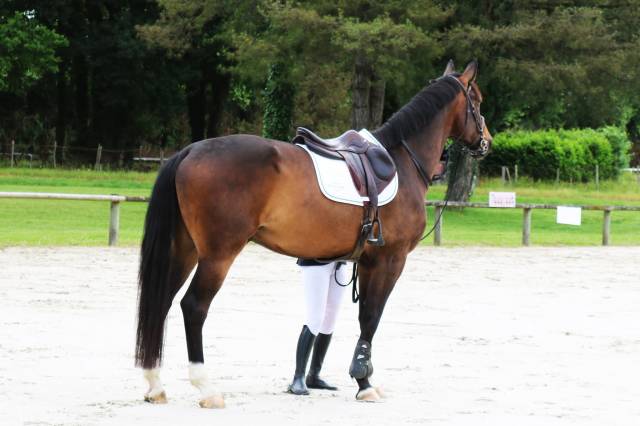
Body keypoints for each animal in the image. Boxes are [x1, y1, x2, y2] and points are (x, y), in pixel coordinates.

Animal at [135, 60, 492, 407]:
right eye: (476, 101)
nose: (486, 141)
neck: (401, 162)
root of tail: (189, 151)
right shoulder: (389, 260)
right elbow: (371, 318)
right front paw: (364, 382)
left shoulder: (365, 261)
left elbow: (360, 317)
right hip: (218, 256)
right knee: (193, 306)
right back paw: (206, 389)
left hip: (184, 249)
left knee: (162, 301)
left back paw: (155, 384)